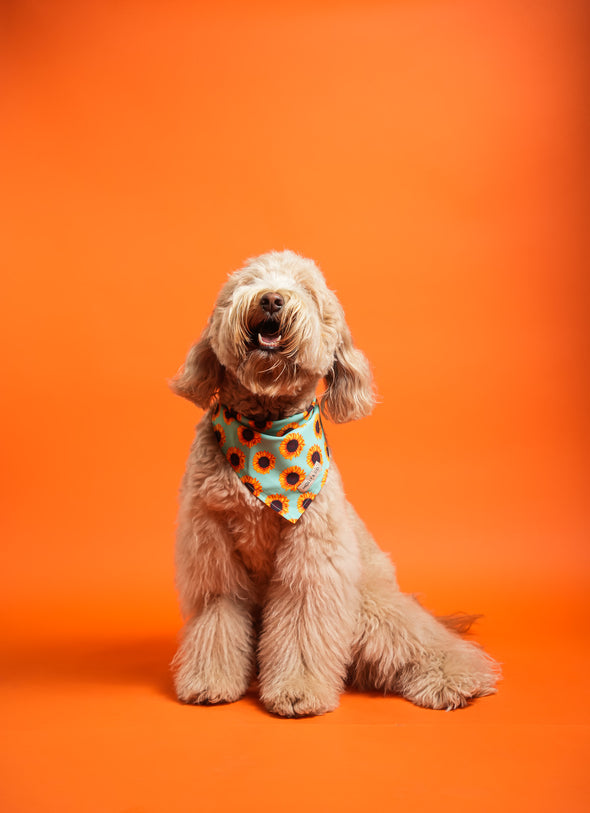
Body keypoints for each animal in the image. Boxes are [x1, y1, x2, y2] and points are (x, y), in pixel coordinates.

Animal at [171, 249, 500, 716]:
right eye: (246, 283)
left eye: (307, 290)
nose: (271, 299)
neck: (265, 433)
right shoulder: (211, 550)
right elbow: (217, 615)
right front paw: (209, 681)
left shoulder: (311, 558)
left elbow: (301, 622)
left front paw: (297, 690)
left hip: (371, 606)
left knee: (424, 642)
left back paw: (455, 678)